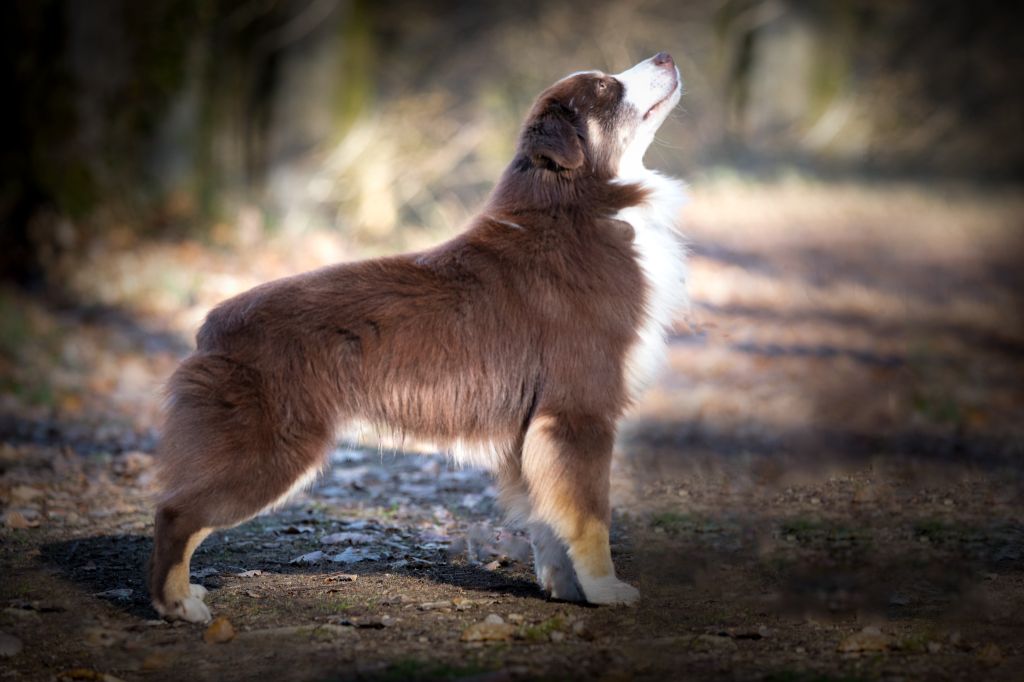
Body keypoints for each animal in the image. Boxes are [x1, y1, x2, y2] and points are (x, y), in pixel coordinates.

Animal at [148, 50, 688, 618]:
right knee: (175, 513)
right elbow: (589, 517)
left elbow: (547, 520)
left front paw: (566, 590)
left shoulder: (536, 430)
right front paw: (607, 591)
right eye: (605, 88)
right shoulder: (579, 410)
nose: (666, 55)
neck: (584, 202)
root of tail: (209, 328)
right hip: (273, 451)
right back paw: (178, 604)